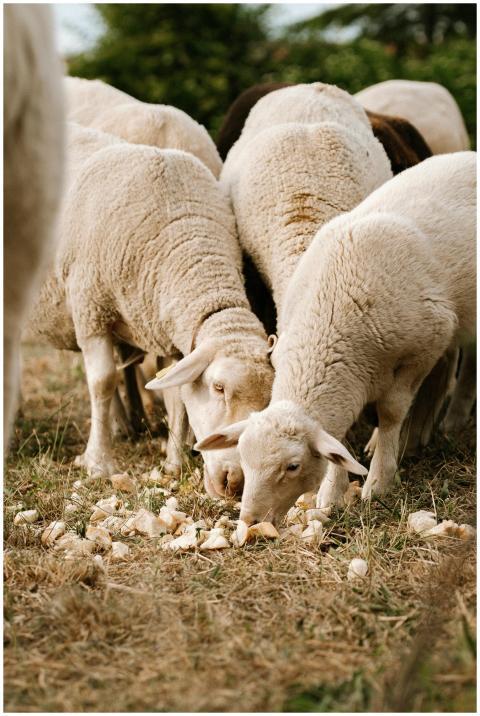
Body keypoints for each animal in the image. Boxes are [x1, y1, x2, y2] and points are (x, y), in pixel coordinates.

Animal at [28, 123, 274, 494]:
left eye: (269, 401)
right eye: (219, 388)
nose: (238, 482)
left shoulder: (170, 335)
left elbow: (176, 399)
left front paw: (173, 462)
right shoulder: (91, 310)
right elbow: (102, 382)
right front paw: (98, 463)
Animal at [197, 152, 476, 525]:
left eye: (292, 466)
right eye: (242, 455)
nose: (250, 521)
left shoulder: (424, 344)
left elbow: (391, 412)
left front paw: (379, 482)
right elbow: (337, 439)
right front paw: (331, 494)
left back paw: (452, 419)